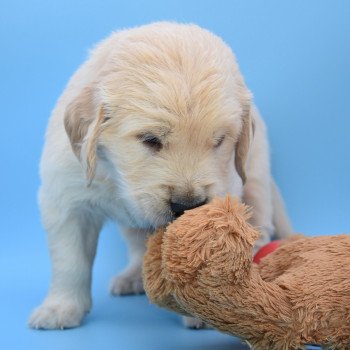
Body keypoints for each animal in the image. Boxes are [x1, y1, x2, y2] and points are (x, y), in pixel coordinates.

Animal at [28, 21, 292, 328]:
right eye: (150, 139)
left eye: (219, 141)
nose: (187, 205)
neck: (117, 177)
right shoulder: (66, 198)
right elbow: (70, 261)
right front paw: (60, 308)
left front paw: (204, 310)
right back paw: (132, 277)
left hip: (256, 177)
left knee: (259, 225)